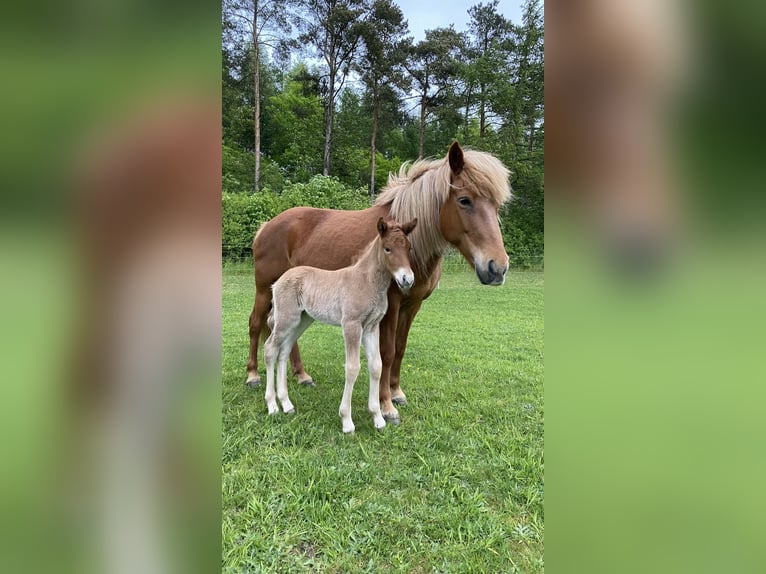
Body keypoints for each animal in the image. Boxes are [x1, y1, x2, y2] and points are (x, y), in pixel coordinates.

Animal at [266, 218, 420, 434]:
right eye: (387, 248)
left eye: (409, 248)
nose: (407, 279)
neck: (366, 281)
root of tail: (278, 281)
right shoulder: (351, 325)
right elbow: (352, 368)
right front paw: (347, 421)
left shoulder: (372, 327)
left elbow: (376, 366)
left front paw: (378, 418)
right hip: (285, 319)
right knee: (270, 348)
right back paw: (272, 405)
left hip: (301, 320)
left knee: (283, 351)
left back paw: (287, 404)